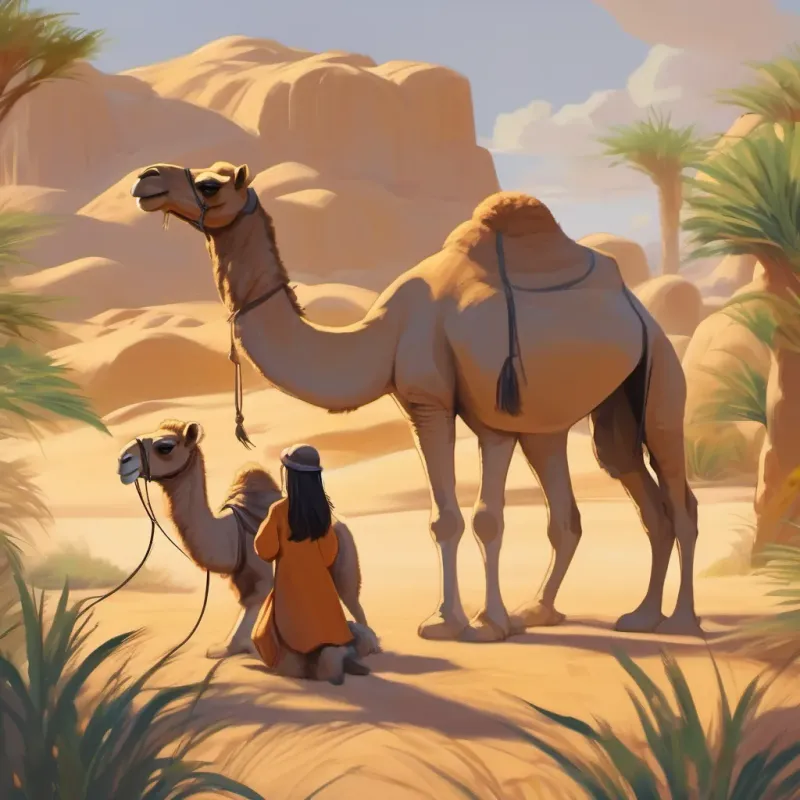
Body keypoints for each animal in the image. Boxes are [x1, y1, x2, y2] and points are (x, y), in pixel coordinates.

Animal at [116, 419, 380, 660]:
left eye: (165, 447)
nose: (122, 460)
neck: (231, 532)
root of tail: (340, 522)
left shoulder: (258, 564)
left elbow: (255, 599)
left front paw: (237, 647)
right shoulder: (241, 573)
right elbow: (246, 603)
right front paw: (237, 647)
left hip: (346, 557)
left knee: (352, 598)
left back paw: (366, 645)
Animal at [129, 162, 702, 642]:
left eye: (210, 184)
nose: (147, 178)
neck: (386, 332)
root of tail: (638, 309)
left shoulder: (461, 409)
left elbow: (475, 519)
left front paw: (469, 623)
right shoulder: (430, 407)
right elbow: (452, 518)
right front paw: (477, 619)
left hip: (662, 378)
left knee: (680, 500)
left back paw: (682, 620)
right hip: (586, 415)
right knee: (610, 494)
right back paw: (599, 613)